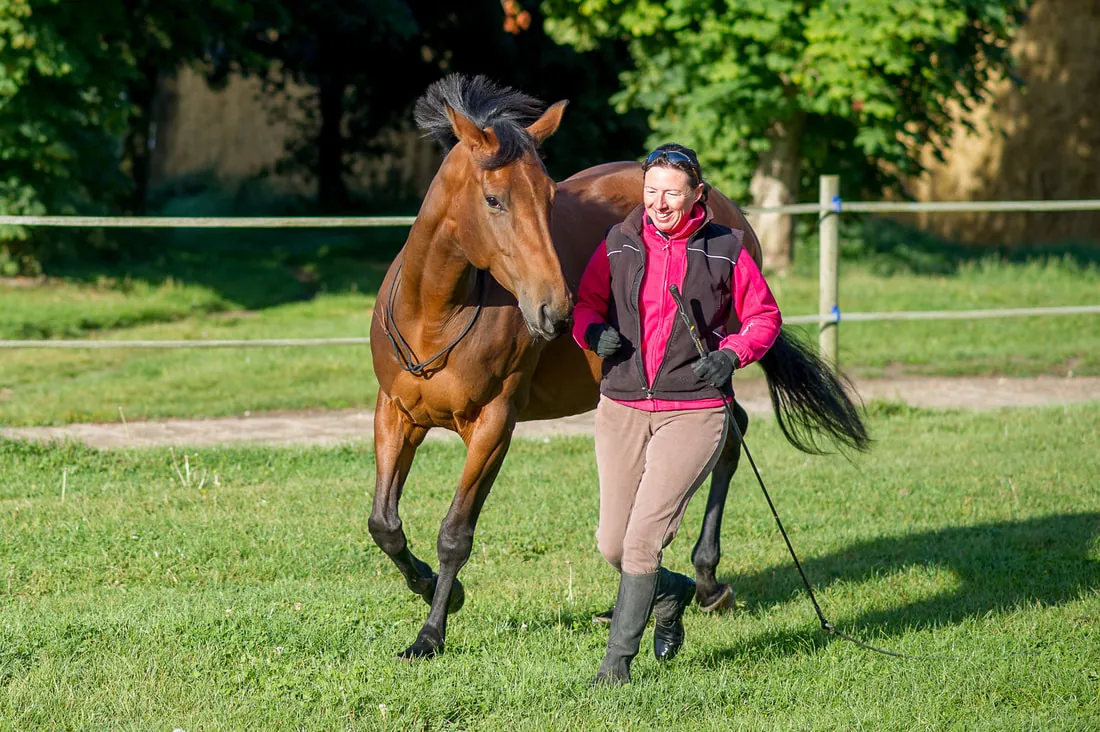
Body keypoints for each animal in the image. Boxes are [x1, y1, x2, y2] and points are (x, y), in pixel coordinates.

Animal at [368, 75, 870, 660]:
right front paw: (435, 590)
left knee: (727, 438)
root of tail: (725, 208)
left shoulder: (493, 426)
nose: (555, 309)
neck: (435, 314)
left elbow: (455, 533)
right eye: (493, 200)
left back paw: (705, 581)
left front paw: (431, 632)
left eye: (549, 198)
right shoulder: (395, 414)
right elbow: (385, 524)